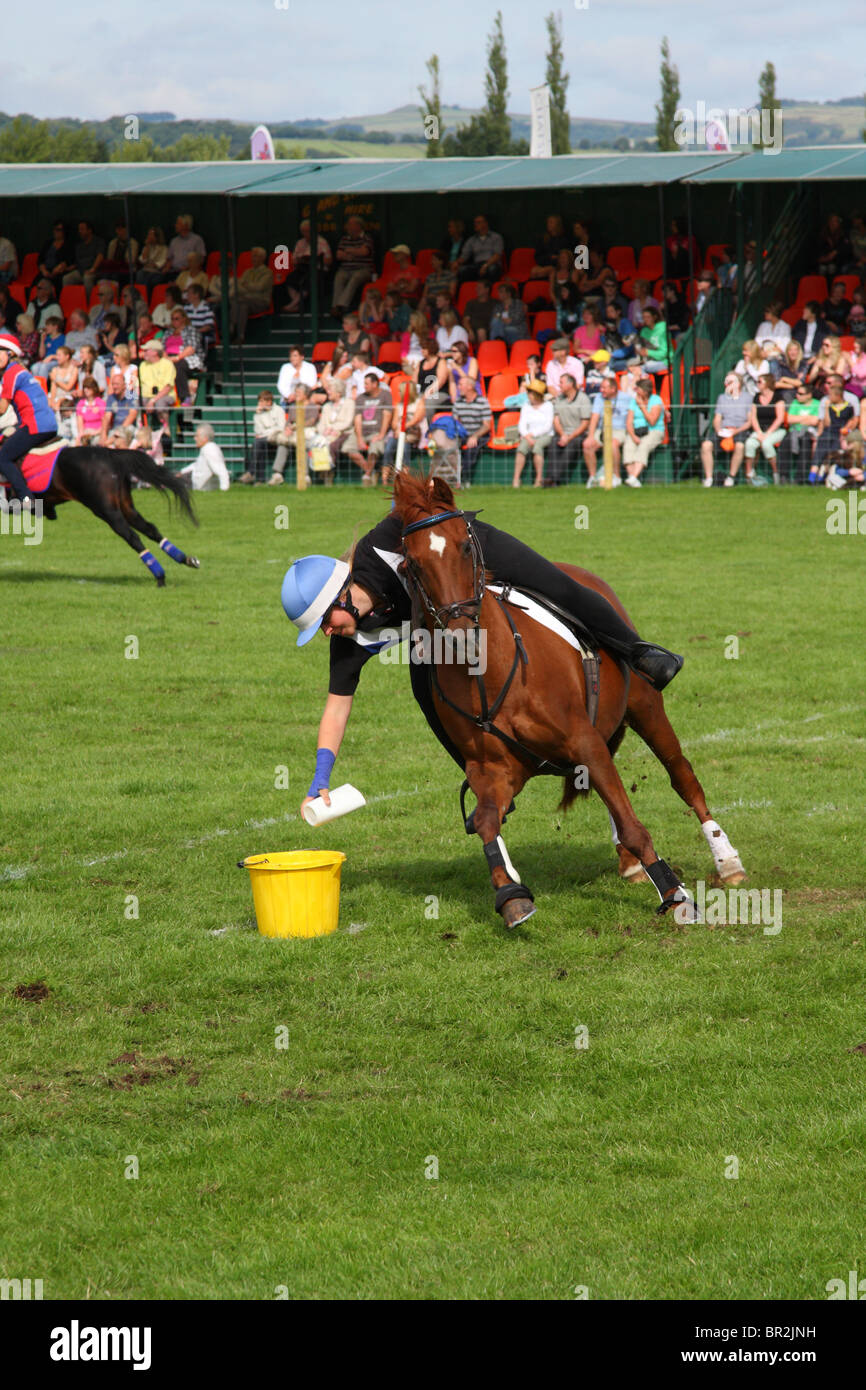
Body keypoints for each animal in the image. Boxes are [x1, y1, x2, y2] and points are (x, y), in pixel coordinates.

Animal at [1, 439, 200, 581]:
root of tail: (109, 453)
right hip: (125, 505)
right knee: (148, 527)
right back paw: (184, 559)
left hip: (105, 509)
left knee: (131, 535)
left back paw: (159, 575)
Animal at [391, 472, 745, 928]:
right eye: (413, 564)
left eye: (465, 546)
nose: (462, 634)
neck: (490, 673)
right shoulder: (495, 770)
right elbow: (487, 823)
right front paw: (510, 893)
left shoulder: (585, 742)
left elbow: (633, 823)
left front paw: (675, 894)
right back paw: (630, 863)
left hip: (646, 708)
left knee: (683, 778)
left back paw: (726, 860)